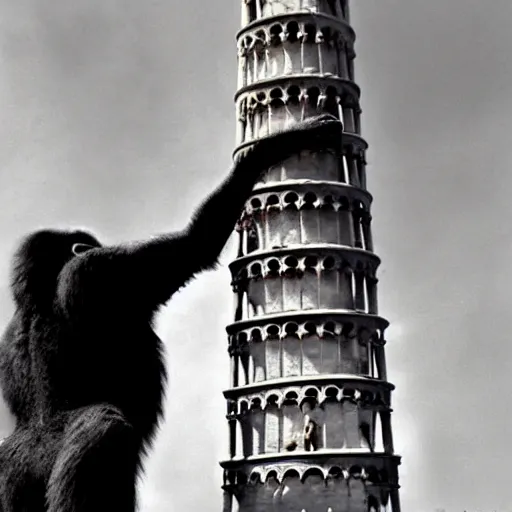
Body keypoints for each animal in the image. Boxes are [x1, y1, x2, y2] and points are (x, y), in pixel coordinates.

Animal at [0, 114, 342, 510]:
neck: (37, 293)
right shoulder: (99, 272)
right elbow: (194, 245)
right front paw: (269, 149)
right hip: (84, 446)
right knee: (109, 433)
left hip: (10, 473)